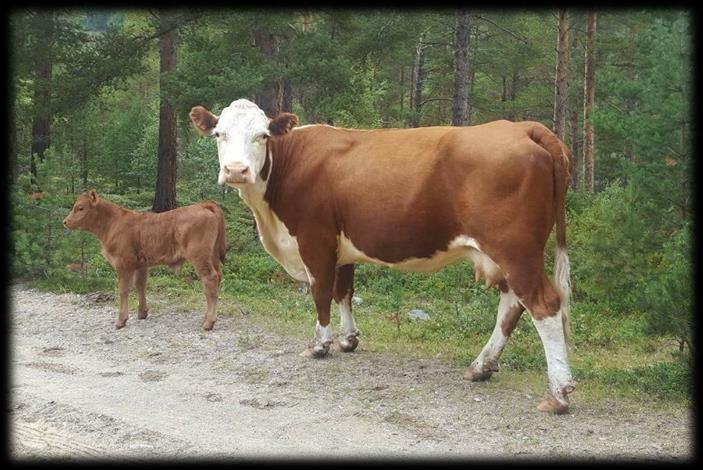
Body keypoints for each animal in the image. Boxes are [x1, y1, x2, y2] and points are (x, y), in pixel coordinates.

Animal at [63, 190, 227, 330]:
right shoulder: (141, 264)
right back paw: (206, 318)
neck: (112, 224)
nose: (65, 222)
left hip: (200, 257)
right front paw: (142, 313)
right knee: (218, 277)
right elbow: (140, 285)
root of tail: (203, 205)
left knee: (210, 279)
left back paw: (209, 322)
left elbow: (123, 290)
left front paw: (121, 320)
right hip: (212, 257)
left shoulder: (123, 263)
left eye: (81, 208)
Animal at [190, 98, 576, 412]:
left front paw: (319, 345)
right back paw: (481, 367)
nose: (236, 170)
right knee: (512, 305)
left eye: (262, 136)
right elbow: (344, 291)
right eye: (219, 134)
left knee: (543, 305)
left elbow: (321, 293)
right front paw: (348, 339)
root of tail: (524, 127)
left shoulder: (315, 239)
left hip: (515, 249)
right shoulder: (342, 246)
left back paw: (558, 394)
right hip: (510, 254)